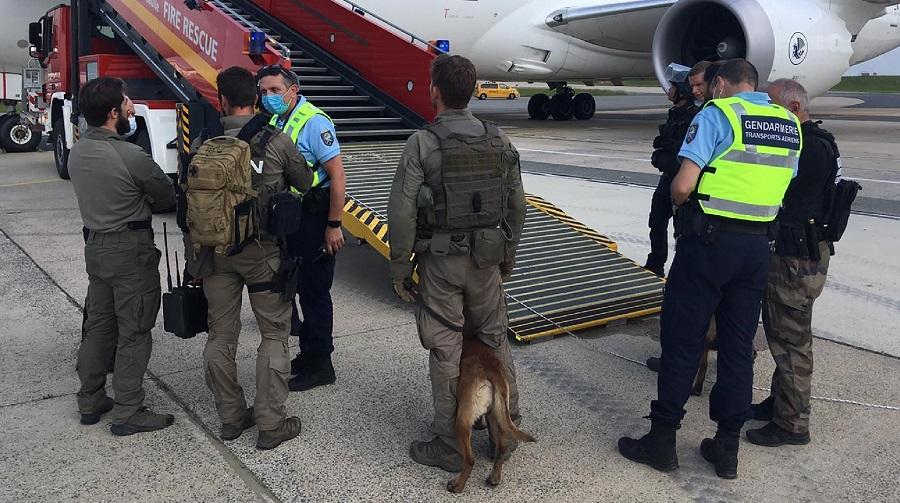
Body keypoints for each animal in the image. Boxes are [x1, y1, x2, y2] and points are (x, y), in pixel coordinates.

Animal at [448, 332, 536, 494]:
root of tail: (492, 370)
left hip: (461, 422)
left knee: (470, 460)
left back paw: (457, 485)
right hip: (498, 418)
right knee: (501, 450)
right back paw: (494, 478)